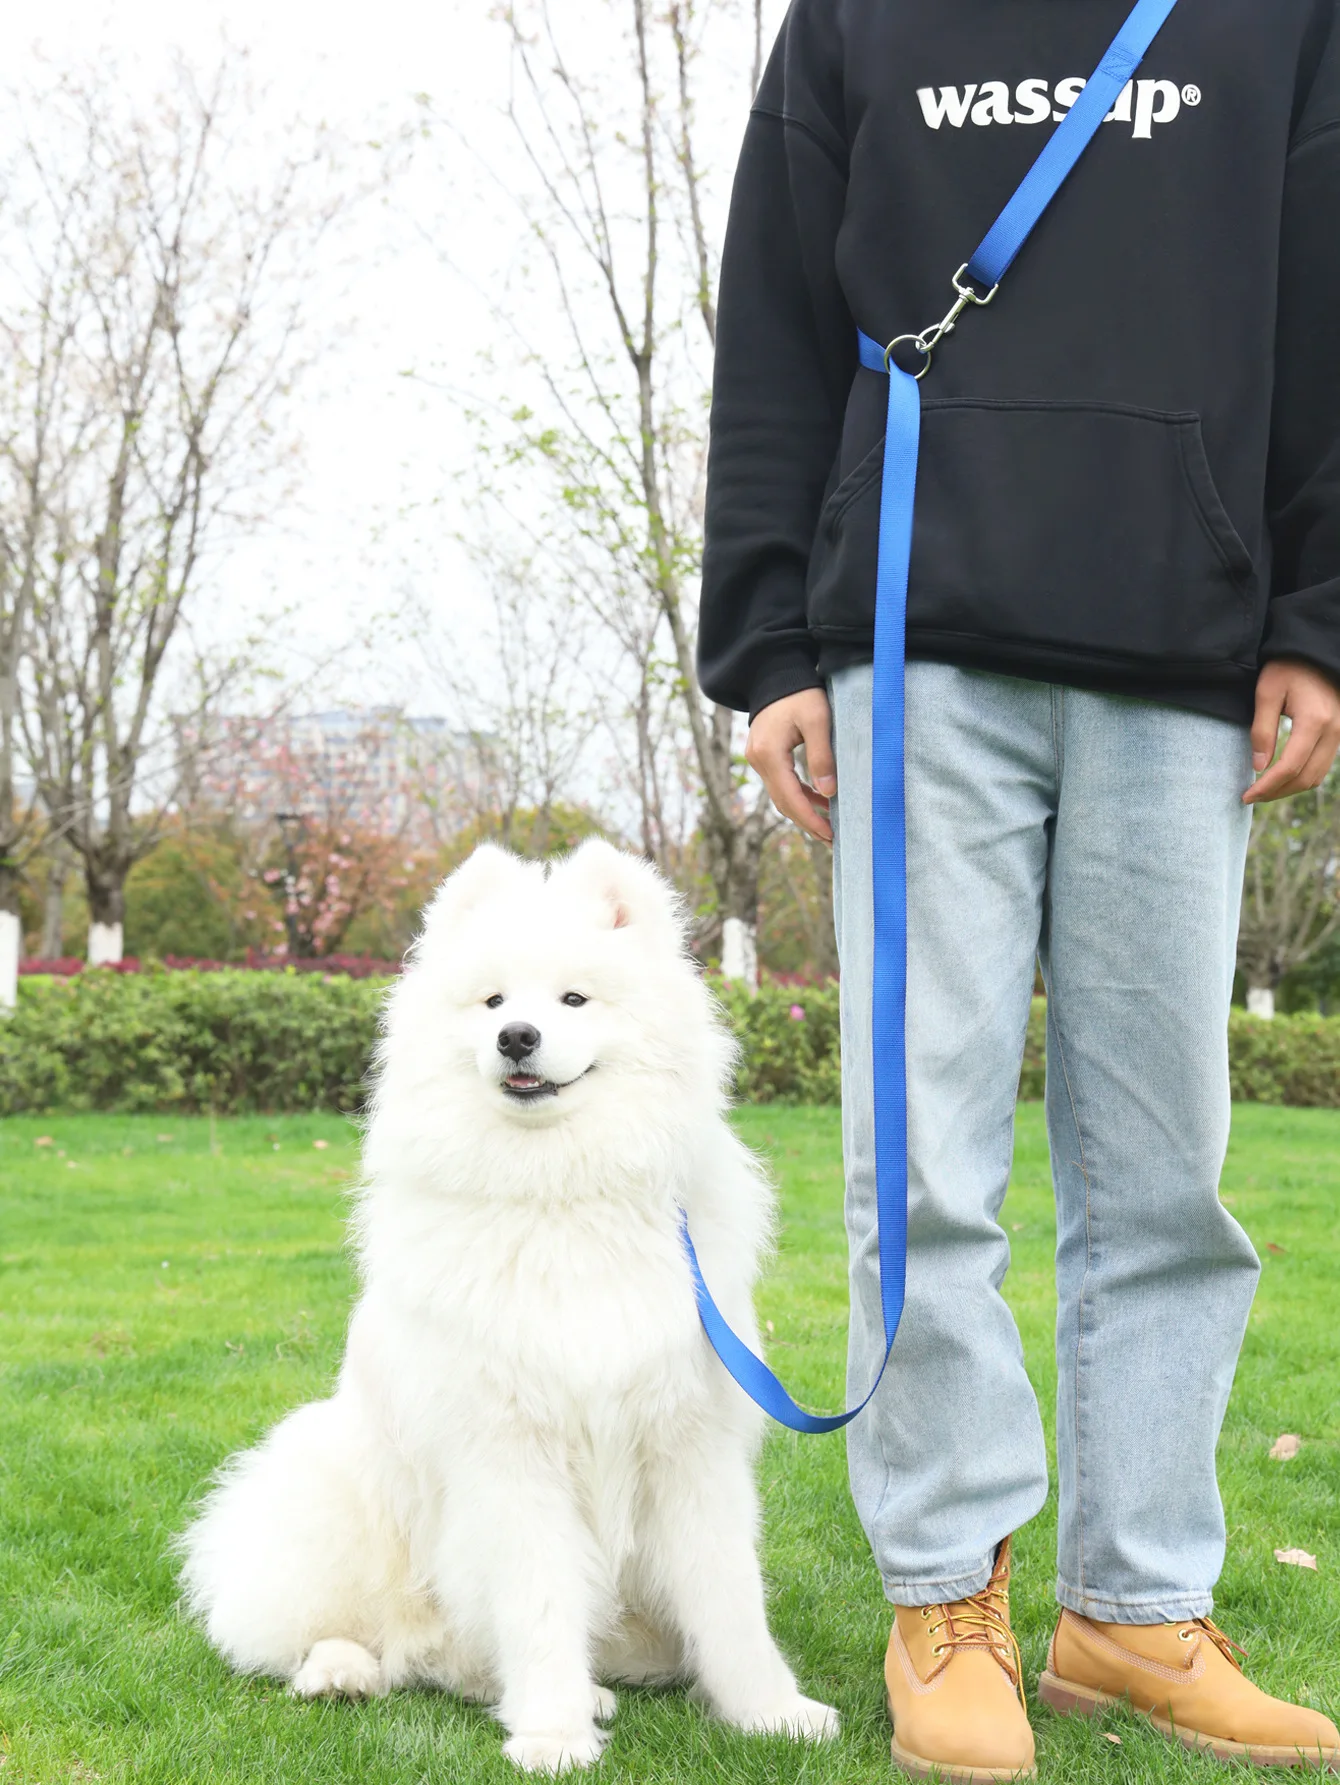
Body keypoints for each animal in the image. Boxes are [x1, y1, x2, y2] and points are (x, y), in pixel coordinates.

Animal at [178, 839, 838, 1771]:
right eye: (492, 1000)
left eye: (573, 998)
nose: (516, 1036)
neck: (560, 1194)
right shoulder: (510, 1457)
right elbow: (538, 1606)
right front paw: (553, 1734)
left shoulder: (689, 1446)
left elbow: (731, 1600)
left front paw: (769, 1712)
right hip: (319, 1488)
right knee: (349, 1639)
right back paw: (347, 1671)